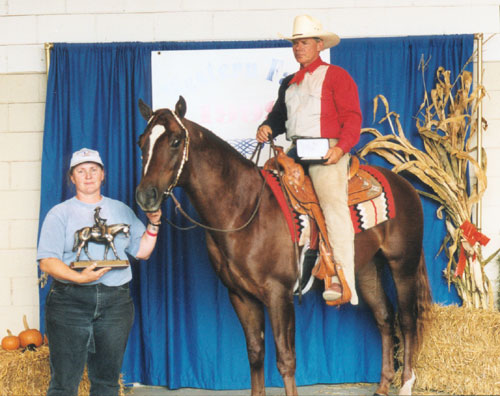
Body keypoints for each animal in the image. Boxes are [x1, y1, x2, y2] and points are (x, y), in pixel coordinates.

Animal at [135, 96, 432, 396]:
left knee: (407, 320)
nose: (146, 196)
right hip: (367, 268)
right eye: (141, 142)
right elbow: (255, 352)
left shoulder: (279, 294)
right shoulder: (240, 296)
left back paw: (406, 384)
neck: (243, 210)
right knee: (384, 317)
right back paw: (383, 385)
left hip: (403, 265)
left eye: (175, 141)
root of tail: (404, 184)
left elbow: (286, 359)